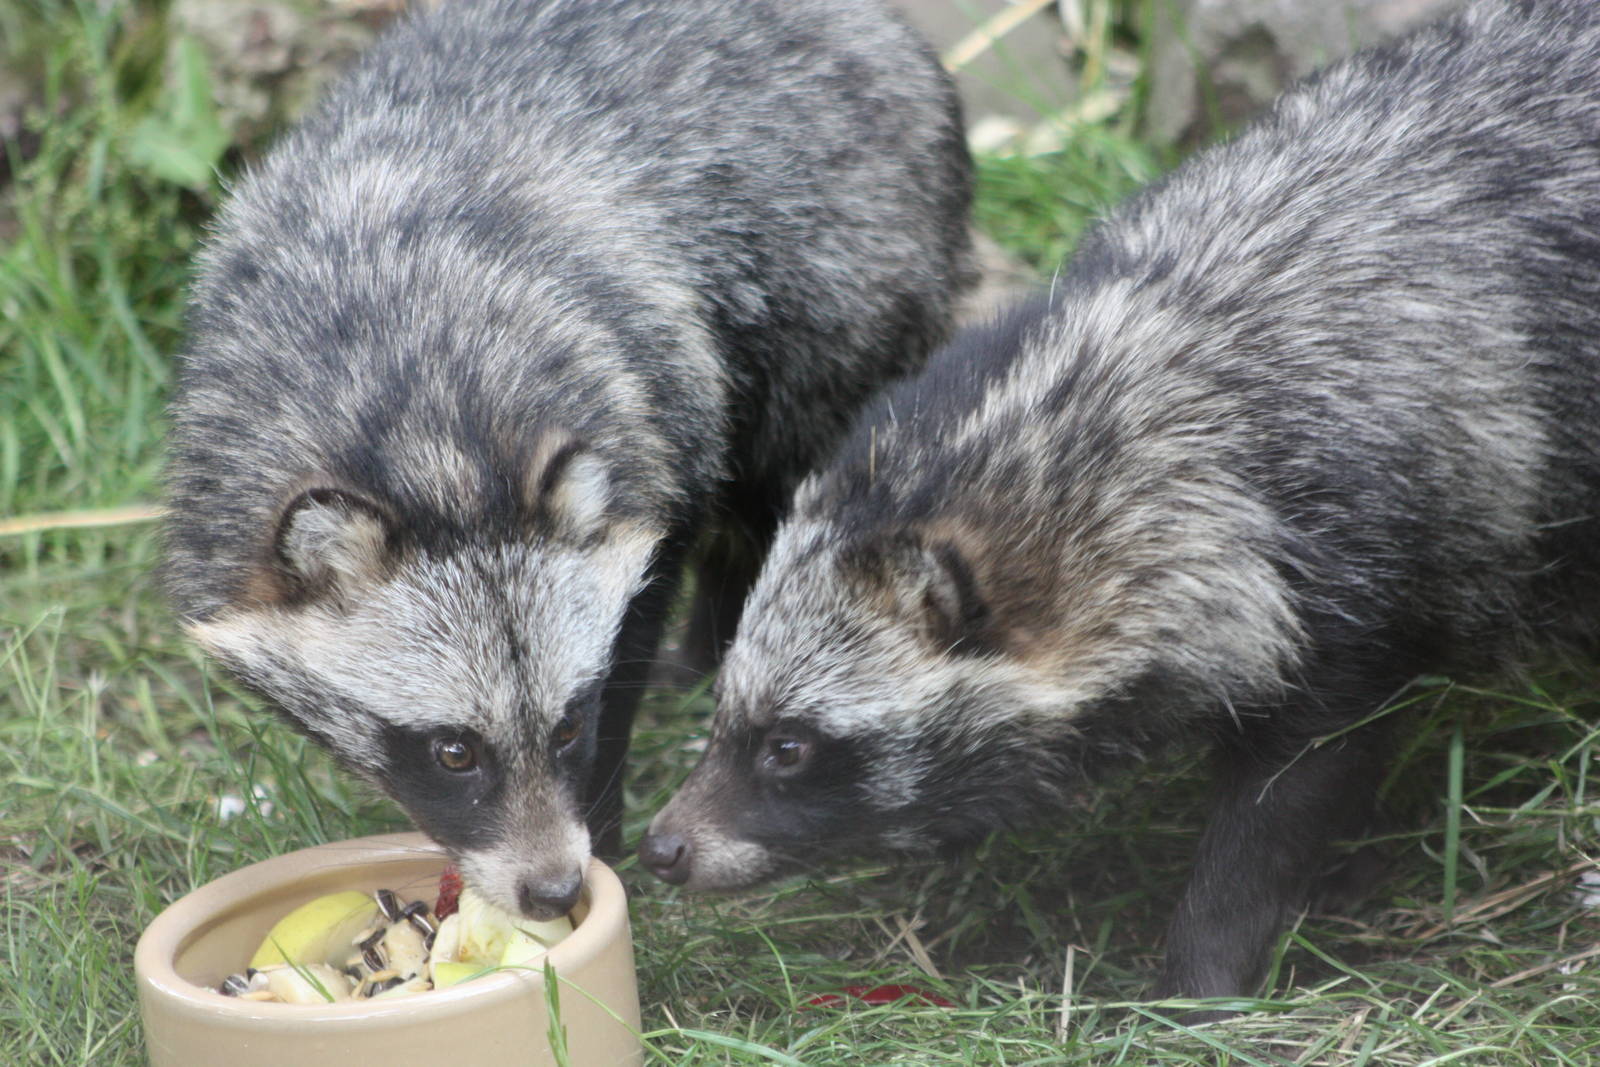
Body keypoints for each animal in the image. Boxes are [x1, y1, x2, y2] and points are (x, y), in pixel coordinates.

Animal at [162, 0, 973, 920]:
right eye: (453, 750)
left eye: (566, 726)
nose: (554, 889)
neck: (423, 422)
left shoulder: (650, 412)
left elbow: (638, 612)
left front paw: (605, 816)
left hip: (846, 274)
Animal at [640, 0, 1600, 1007]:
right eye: (726, 712)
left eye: (789, 745)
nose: (661, 845)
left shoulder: (1356, 573)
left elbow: (1293, 787)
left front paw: (1207, 962)